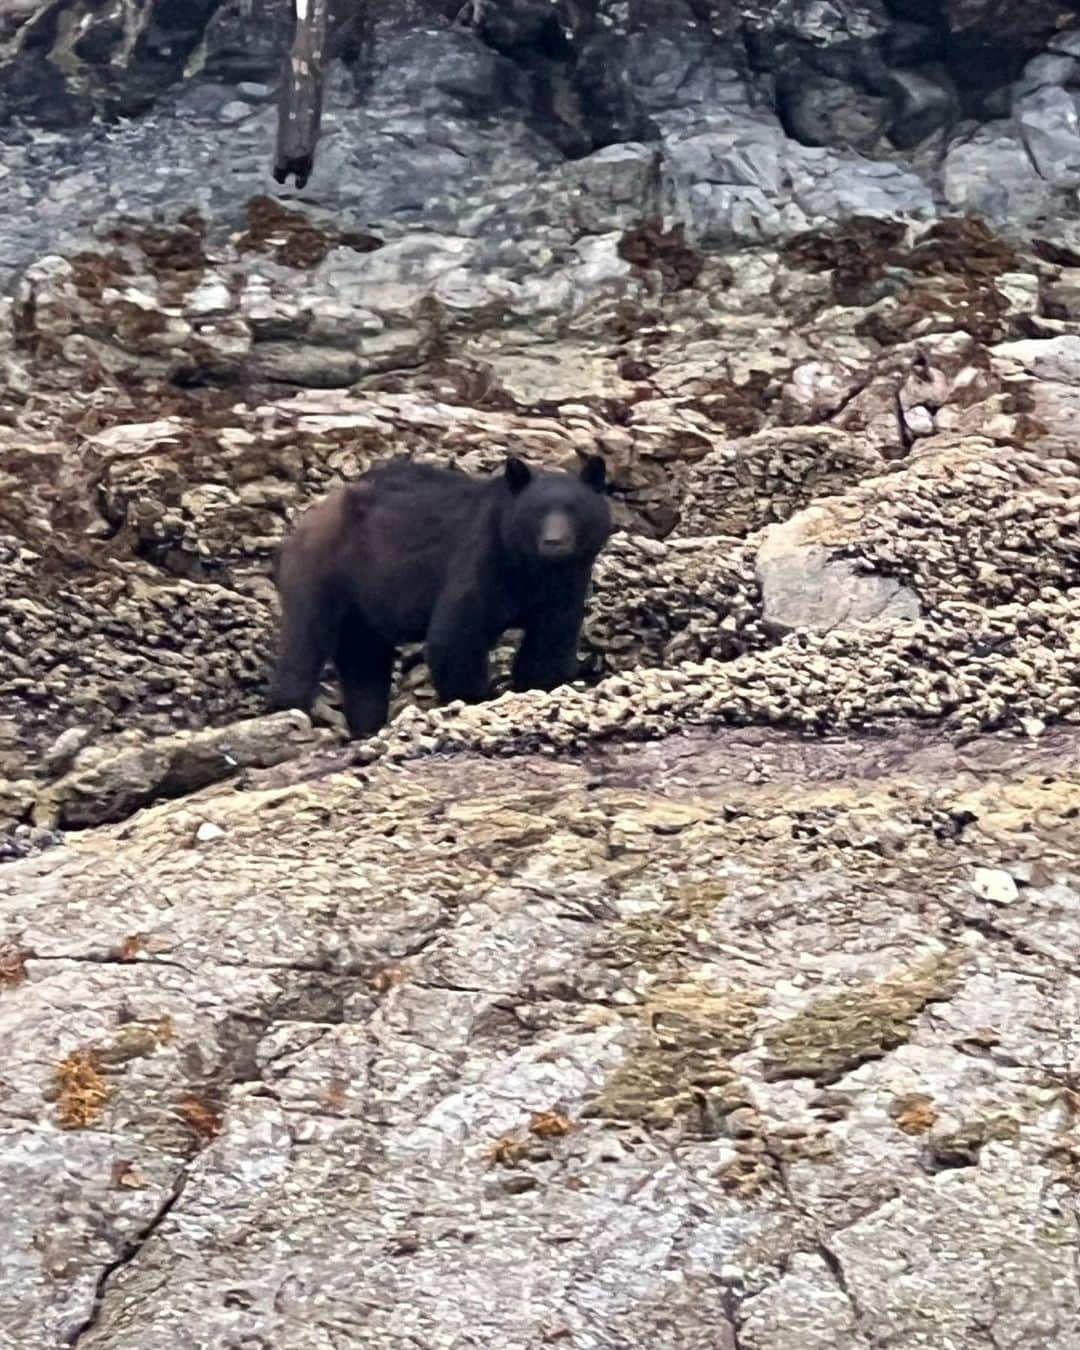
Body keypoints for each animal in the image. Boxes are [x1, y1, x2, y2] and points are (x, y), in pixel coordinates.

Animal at [268, 453, 612, 739]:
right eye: (537, 512)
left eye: (574, 510)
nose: (555, 542)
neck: (532, 569)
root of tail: (309, 518)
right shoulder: (482, 559)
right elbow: (456, 634)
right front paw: (473, 698)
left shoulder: (565, 585)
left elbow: (550, 639)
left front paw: (539, 685)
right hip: (324, 571)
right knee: (306, 641)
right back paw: (291, 709)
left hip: (363, 602)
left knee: (364, 661)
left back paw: (366, 724)